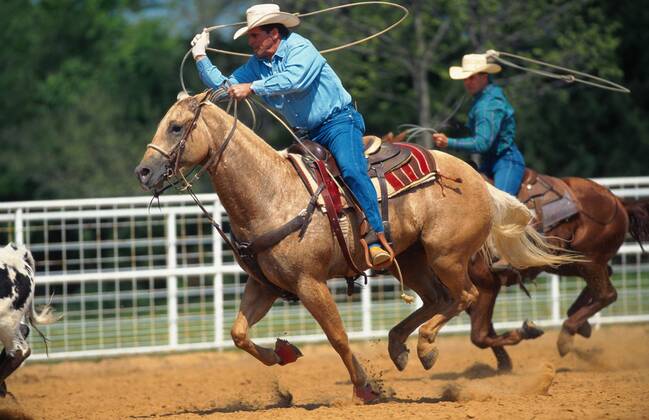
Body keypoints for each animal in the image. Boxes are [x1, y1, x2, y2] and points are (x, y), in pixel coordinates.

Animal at [134, 92, 578, 402]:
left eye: (177, 127)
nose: (143, 172)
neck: (272, 190)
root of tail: (475, 180)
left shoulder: (310, 283)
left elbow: (338, 337)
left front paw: (364, 388)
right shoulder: (265, 285)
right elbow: (238, 333)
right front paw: (283, 354)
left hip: (446, 255)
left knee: (464, 296)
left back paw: (425, 349)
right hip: (412, 258)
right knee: (437, 299)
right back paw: (400, 347)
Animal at [464, 174, 649, 371]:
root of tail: (619, 202)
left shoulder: (487, 284)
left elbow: (479, 335)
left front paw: (527, 330)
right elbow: (483, 329)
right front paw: (504, 364)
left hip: (589, 259)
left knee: (607, 294)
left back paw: (566, 337)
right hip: (566, 261)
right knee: (606, 276)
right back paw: (580, 323)